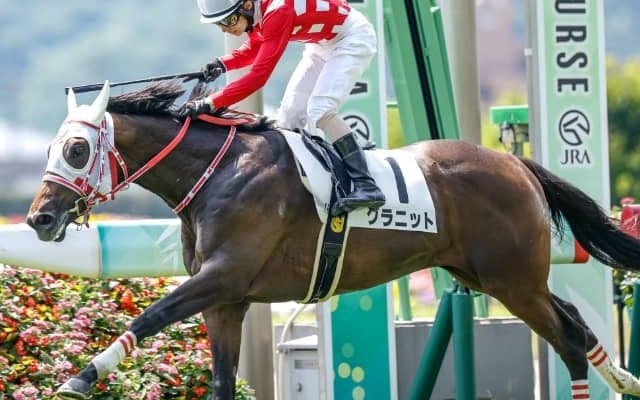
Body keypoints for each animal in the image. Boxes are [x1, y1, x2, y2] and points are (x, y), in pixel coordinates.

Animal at [25, 81, 640, 400]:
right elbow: (222, 379)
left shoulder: (222, 276)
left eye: (76, 150)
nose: (38, 219)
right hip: (493, 276)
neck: (218, 173)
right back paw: (623, 377)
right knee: (576, 325)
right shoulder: (227, 300)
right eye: (52, 149)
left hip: (511, 280)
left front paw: (79, 379)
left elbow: (148, 316)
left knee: (567, 337)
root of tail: (515, 163)